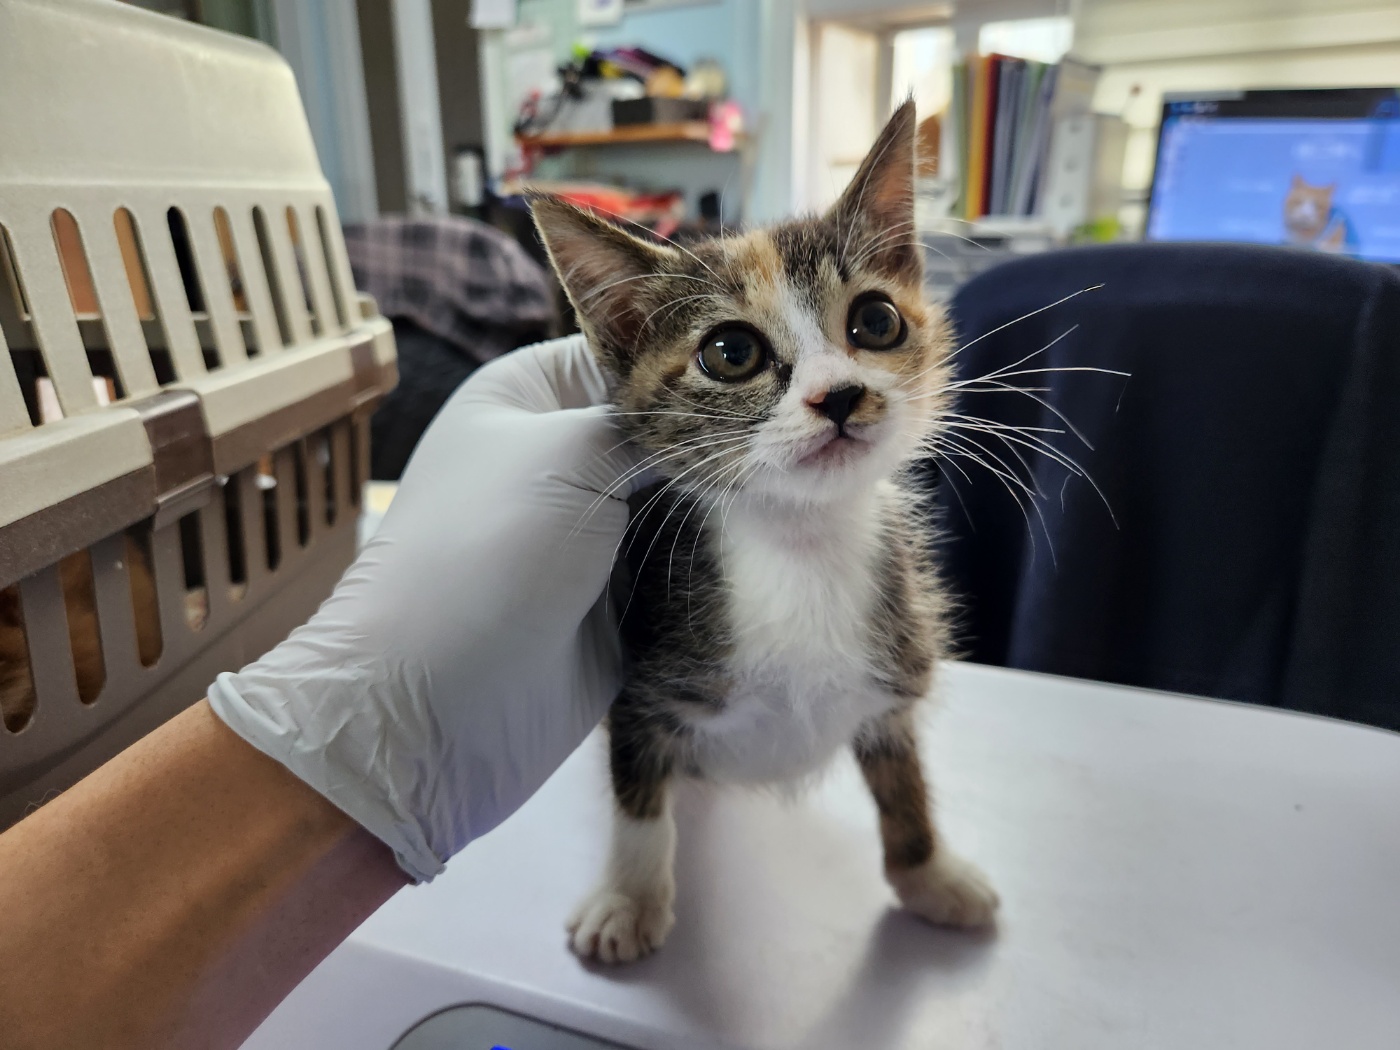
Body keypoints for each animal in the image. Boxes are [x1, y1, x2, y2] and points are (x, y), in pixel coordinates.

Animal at [529, 102, 1002, 968]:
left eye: (876, 321)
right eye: (730, 352)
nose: (839, 394)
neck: (802, 542)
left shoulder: (895, 662)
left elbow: (904, 778)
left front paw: (929, 874)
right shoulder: (638, 674)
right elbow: (637, 788)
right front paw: (630, 897)